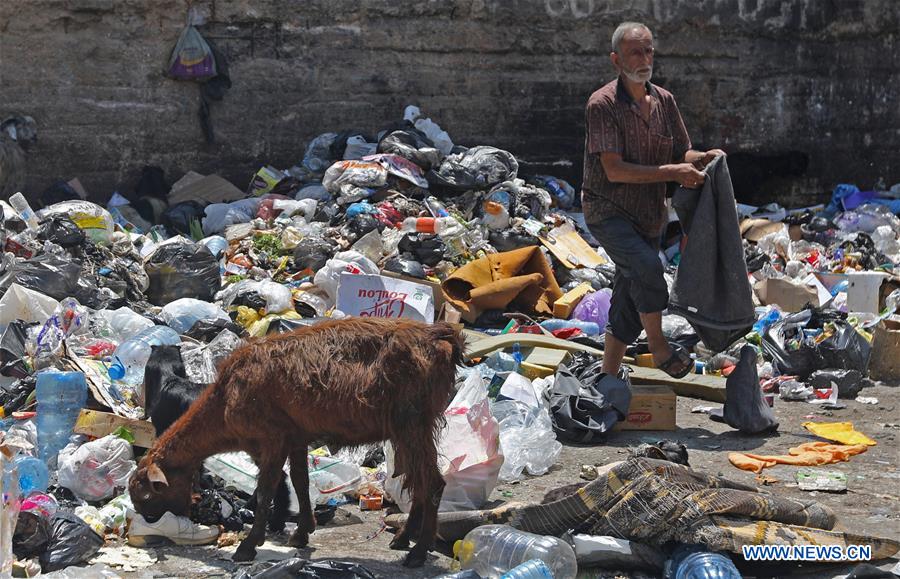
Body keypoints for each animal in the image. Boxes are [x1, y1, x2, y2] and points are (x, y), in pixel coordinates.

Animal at [130, 318, 464, 568]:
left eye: (147, 495)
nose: (150, 520)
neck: (226, 397)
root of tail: (441, 337)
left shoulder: (272, 438)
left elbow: (268, 489)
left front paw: (249, 545)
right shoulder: (296, 436)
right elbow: (301, 481)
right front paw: (303, 532)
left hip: (412, 422)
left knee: (433, 484)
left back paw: (417, 552)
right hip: (407, 428)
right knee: (417, 482)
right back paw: (402, 538)